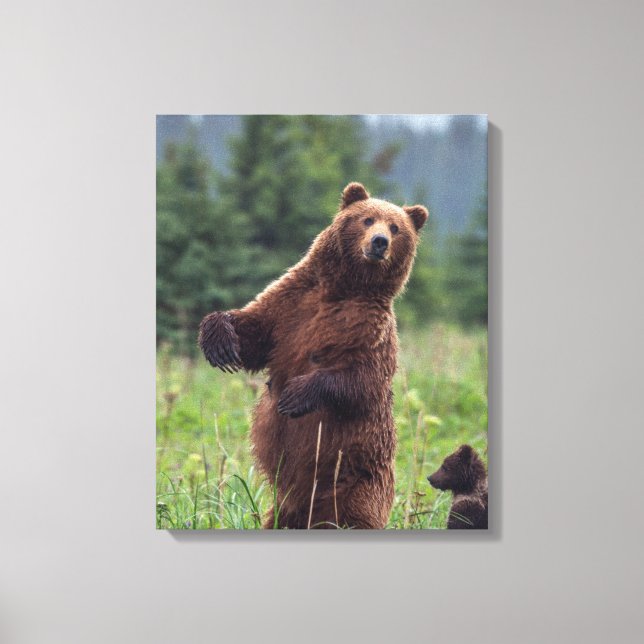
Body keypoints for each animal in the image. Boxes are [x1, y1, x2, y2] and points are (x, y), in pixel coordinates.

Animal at [199, 182, 428, 529]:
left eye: (395, 227)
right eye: (367, 219)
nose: (379, 242)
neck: (345, 288)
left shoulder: (372, 331)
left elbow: (364, 380)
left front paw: (296, 395)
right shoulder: (292, 303)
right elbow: (256, 331)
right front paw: (219, 339)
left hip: (360, 483)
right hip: (286, 505)